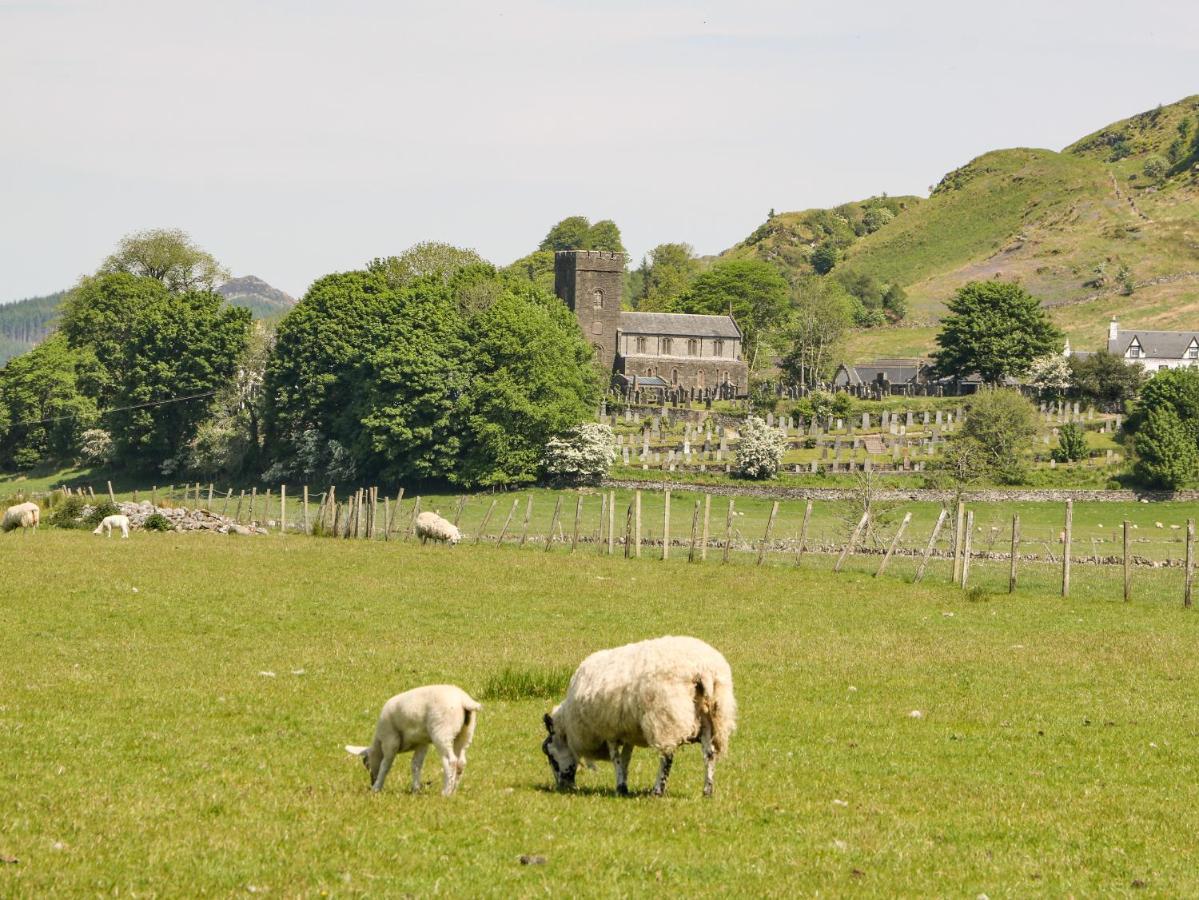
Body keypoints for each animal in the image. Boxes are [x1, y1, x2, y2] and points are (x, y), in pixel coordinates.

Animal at [345, 680, 479, 795]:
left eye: (366, 763)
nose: (372, 781)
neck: (379, 742)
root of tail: (463, 700)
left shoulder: (390, 740)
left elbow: (385, 765)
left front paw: (377, 788)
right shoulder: (422, 743)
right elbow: (415, 765)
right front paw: (415, 789)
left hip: (442, 732)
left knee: (451, 761)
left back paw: (445, 792)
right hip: (465, 733)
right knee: (461, 762)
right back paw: (453, 791)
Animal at [541, 637, 728, 800]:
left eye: (550, 755)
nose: (562, 786)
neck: (569, 724)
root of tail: (704, 670)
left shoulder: (609, 731)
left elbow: (616, 759)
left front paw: (621, 787)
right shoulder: (626, 731)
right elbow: (625, 759)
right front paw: (624, 783)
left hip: (666, 718)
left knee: (667, 756)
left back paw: (658, 790)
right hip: (711, 718)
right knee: (709, 755)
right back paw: (707, 790)